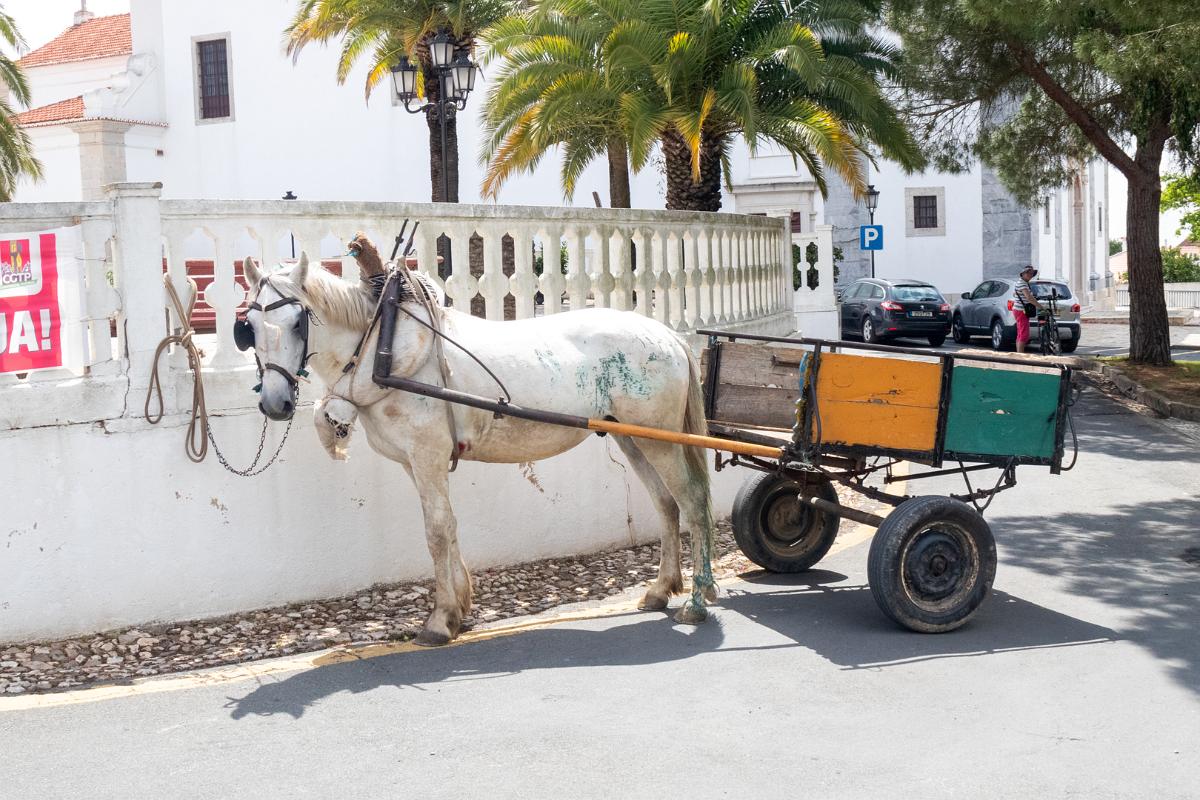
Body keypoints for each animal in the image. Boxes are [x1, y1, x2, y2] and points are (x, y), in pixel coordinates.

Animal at [238, 252, 717, 646]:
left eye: (298, 322)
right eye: (249, 327)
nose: (276, 404)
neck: (381, 347)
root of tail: (666, 334)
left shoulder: (427, 456)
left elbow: (435, 531)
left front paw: (439, 620)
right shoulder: (416, 462)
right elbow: (448, 526)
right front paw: (459, 610)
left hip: (658, 437)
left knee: (693, 501)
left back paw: (697, 599)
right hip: (634, 437)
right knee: (666, 503)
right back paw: (662, 589)